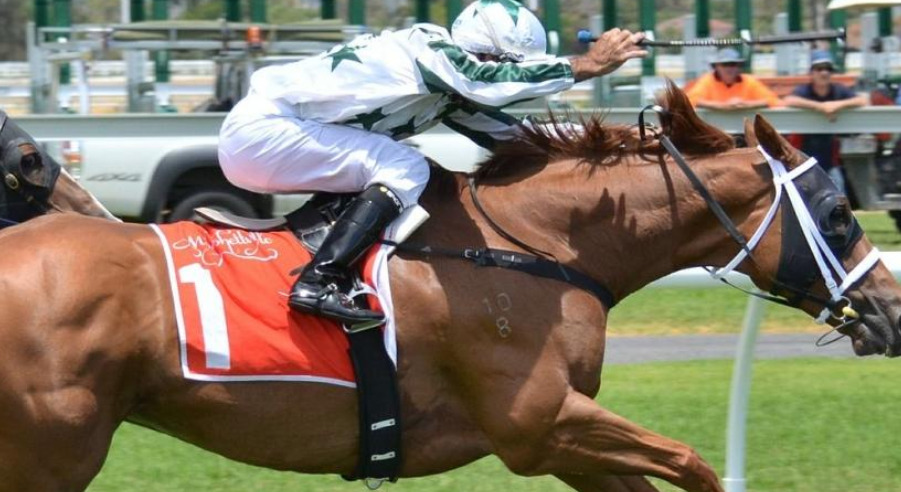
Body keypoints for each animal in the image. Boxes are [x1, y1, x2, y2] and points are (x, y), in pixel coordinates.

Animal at [1, 86, 900, 490]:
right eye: (836, 215)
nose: (888, 309)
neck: (534, 248)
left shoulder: (564, 440)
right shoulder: (537, 423)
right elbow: (690, 463)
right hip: (55, 450)